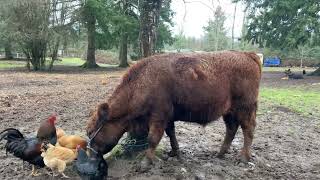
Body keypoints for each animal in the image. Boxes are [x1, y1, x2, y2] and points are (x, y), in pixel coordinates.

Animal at [86, 51, 262, 169]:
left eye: (90, 132)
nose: (90, 155)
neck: (142, 82)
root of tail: (247, 55)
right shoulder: (168, 118)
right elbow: (171, 134)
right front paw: (175, 153)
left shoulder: (158, 117)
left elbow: (153, 138)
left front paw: (146, 162)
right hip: (229, 111)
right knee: (231, 129)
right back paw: (220, 154)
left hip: (245, 108)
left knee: (248, 129)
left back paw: (243, 158)